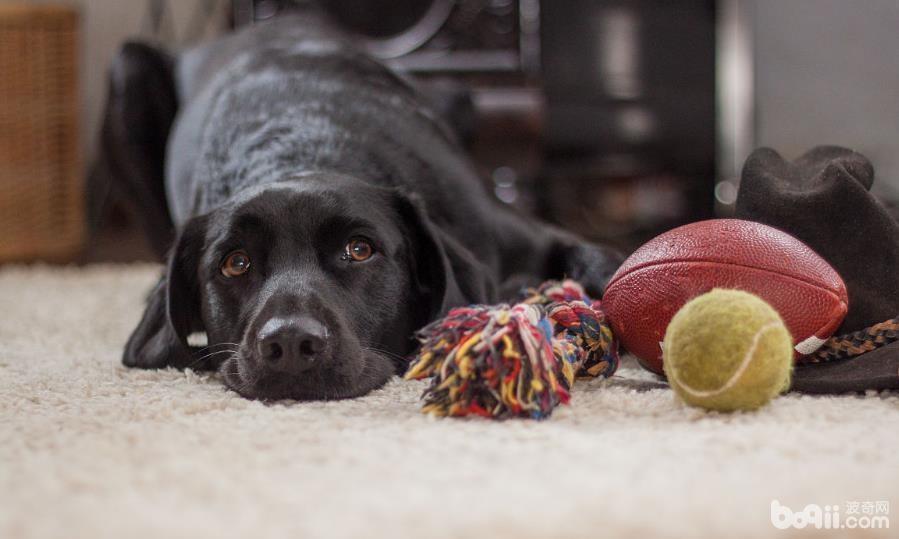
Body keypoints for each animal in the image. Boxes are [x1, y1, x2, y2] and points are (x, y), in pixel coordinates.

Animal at [96, 13, 620, 400]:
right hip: (126, 68)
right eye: (235, 263)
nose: (289, 343)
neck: (302, 150)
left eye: (359, 249)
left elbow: (606, 265)